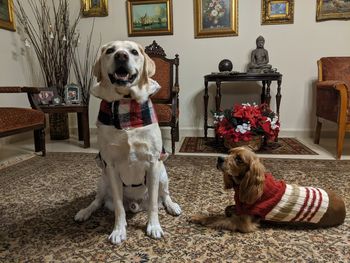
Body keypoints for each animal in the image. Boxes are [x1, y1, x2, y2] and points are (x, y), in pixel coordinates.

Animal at [75, 40, 182, 245]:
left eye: (133, 52)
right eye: (110, 51)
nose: (121, 56)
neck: (125, 103)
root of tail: (135, 205)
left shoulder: (153, 163)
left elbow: (154, 205)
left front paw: (154, 227)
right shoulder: (111, 166)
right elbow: (118, 206)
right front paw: (118, 230)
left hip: (163, 174)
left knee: (164, 195)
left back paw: (172, 206)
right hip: (103, 179)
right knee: (97, 201)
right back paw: (84, 212)